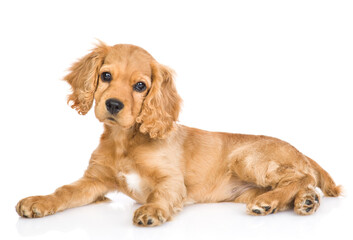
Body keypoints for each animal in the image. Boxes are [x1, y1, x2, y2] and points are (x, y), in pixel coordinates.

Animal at [14, 42, 340, 227]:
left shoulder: (171, 180)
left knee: (301, 176)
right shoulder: (95, 180)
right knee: (302, 182)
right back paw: (305, 202)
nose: (113, 105)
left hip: (246, 159)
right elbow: (64, 191)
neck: (124, 141)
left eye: (141, 86)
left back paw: (274, 202)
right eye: (105, 75)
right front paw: (38, 202)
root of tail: (299, 150)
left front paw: (152, 210)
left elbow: (160, 194)